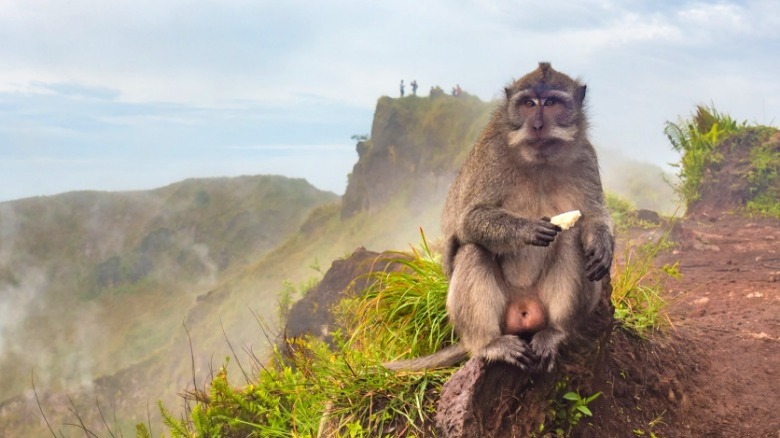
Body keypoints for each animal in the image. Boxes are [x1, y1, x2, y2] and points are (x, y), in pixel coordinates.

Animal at [384, 63, 616, 372]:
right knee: (473, 249)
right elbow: (469, 219)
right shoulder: (492, 156)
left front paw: (602, 244)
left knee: (571, 240)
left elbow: (592, 213)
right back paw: (490, 344)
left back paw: (555, 331)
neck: (539, 160)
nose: (537, 125)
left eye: (551, 103)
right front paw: (527, 229)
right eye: (528, 104)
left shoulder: (586, 157)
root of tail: (525, 310)